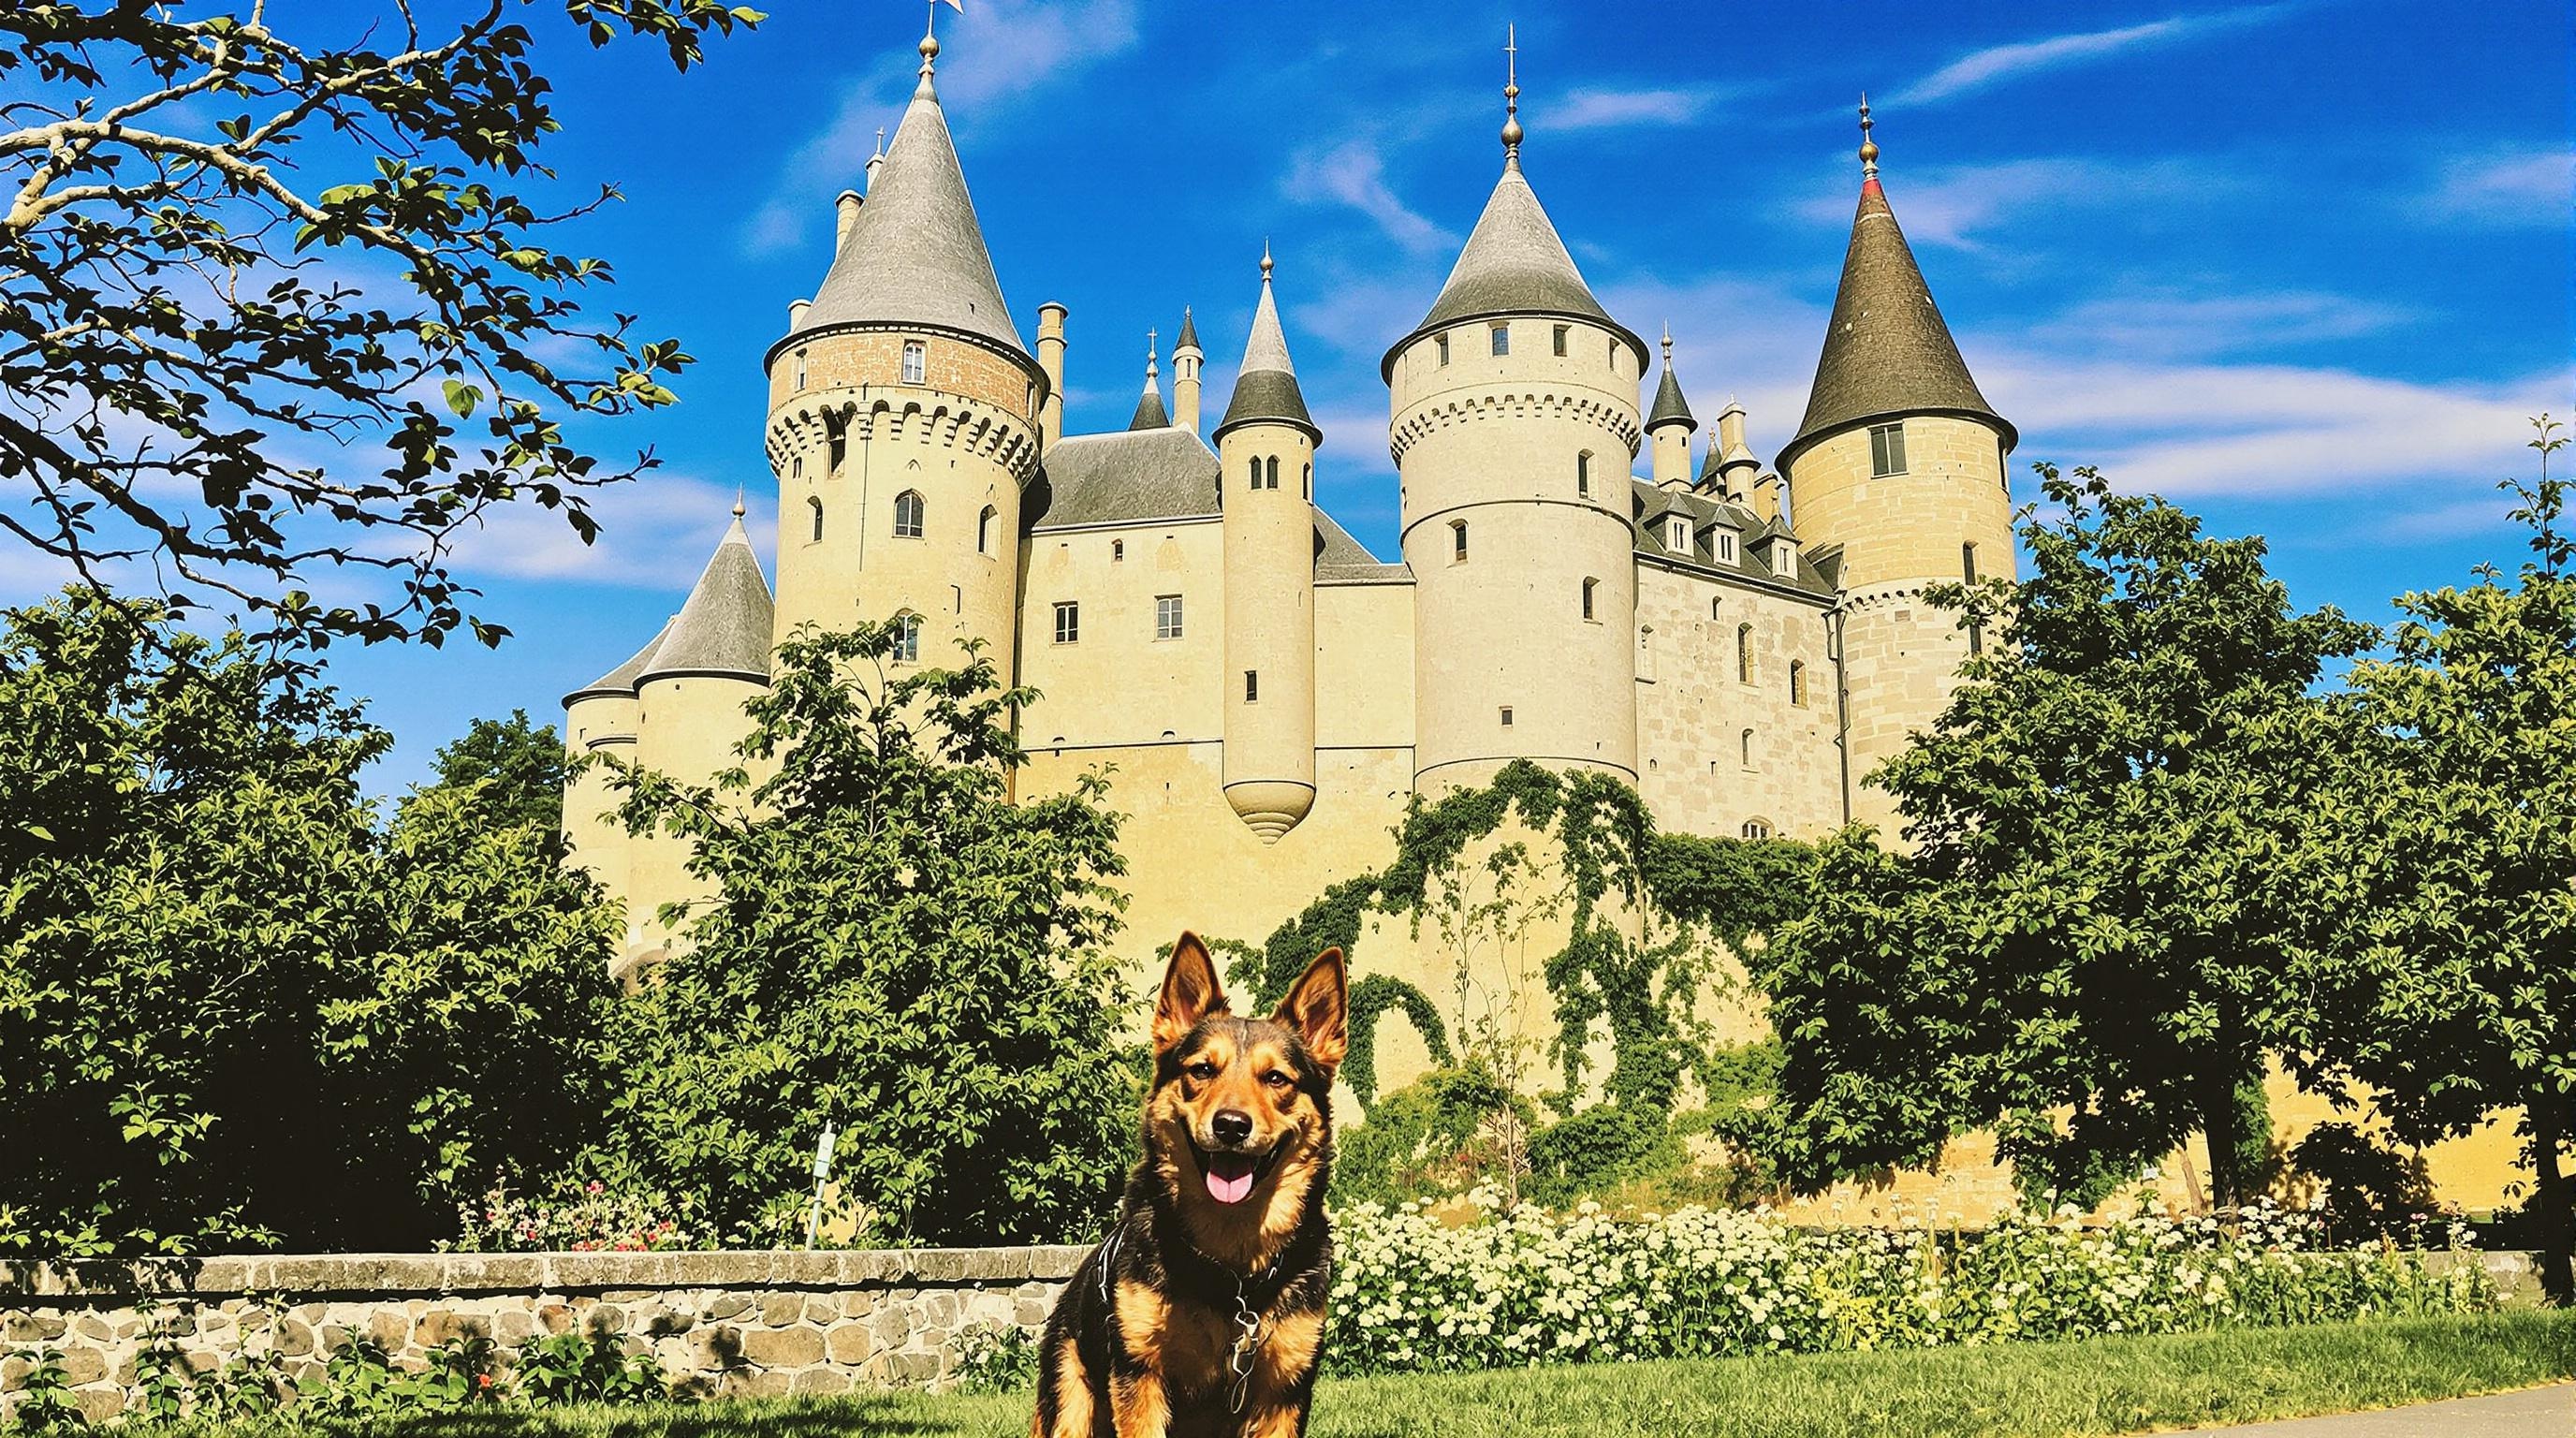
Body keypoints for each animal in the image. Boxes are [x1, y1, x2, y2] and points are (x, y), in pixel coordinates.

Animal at [1030, 937, 1350, 1438]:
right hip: (1069, 1400)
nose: (1231, 1125)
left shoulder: (1284, 1389)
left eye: (1276, 1078)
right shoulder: (1141, 1374)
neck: (1232, 1272)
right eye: (1202, 1070)